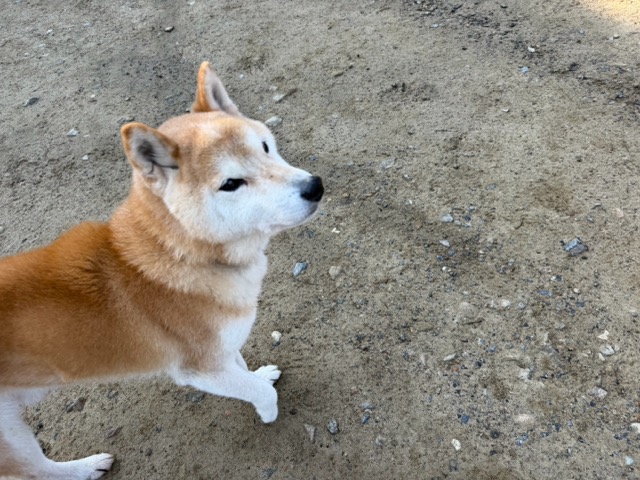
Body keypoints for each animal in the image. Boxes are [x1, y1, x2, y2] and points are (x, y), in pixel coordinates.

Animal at [0, 61, 324, 479]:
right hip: (12, 438)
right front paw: (267, 409)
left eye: (265, 147)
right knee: (37, 470)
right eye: (231, 184)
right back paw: (84, 467)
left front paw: (257, 374)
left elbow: (243, 368)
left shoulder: (220, 350)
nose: (314, 186)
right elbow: (259, 391)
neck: (182, 253)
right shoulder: (199, 370)